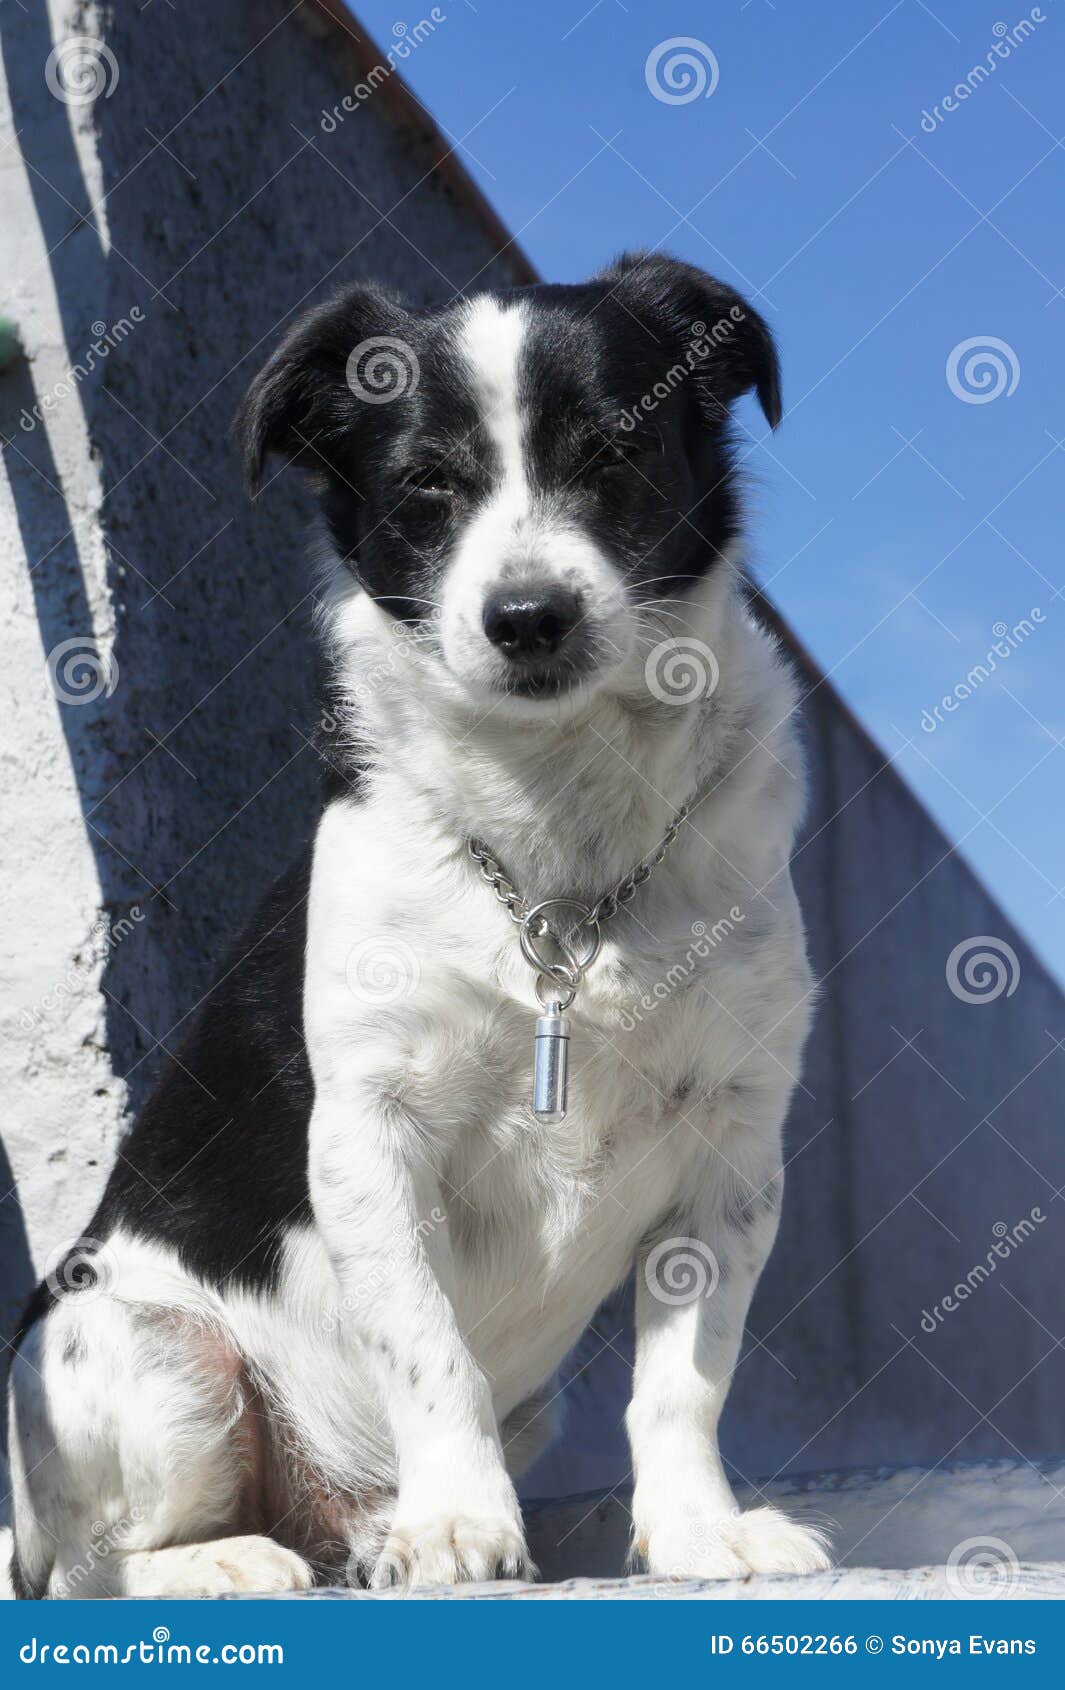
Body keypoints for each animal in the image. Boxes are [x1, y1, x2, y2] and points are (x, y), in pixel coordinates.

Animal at [6, 253, 835, 1595]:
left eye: (614, 450)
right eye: (425, 487)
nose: (529, 614)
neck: (556, 847)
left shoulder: (731, 1144)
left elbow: (686, 1377)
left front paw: (699, 1528)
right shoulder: (370, 1135)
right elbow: (429, 1350)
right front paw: (459, 1520)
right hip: (150, 1353)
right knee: (88, 1568)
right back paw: (246, 1556)